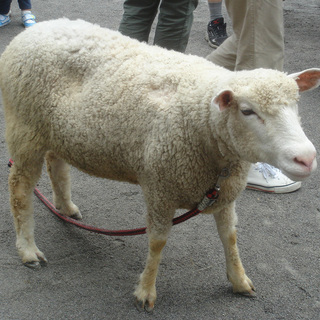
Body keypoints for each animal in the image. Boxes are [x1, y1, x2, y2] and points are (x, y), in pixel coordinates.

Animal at [0, 18, 320, 312]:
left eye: (295, 103)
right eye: (247, 111)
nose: (306, 158)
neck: (203, 121)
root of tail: (35, 29)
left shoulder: (224, 193)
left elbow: (230, 237)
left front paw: (240, 280)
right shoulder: (160, 189)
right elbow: (157, 242)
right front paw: (146, 291)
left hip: (54, 130)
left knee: (56, 164)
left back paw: (65, 207)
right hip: (24, 127)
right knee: (19, 190)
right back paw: (28, 249)